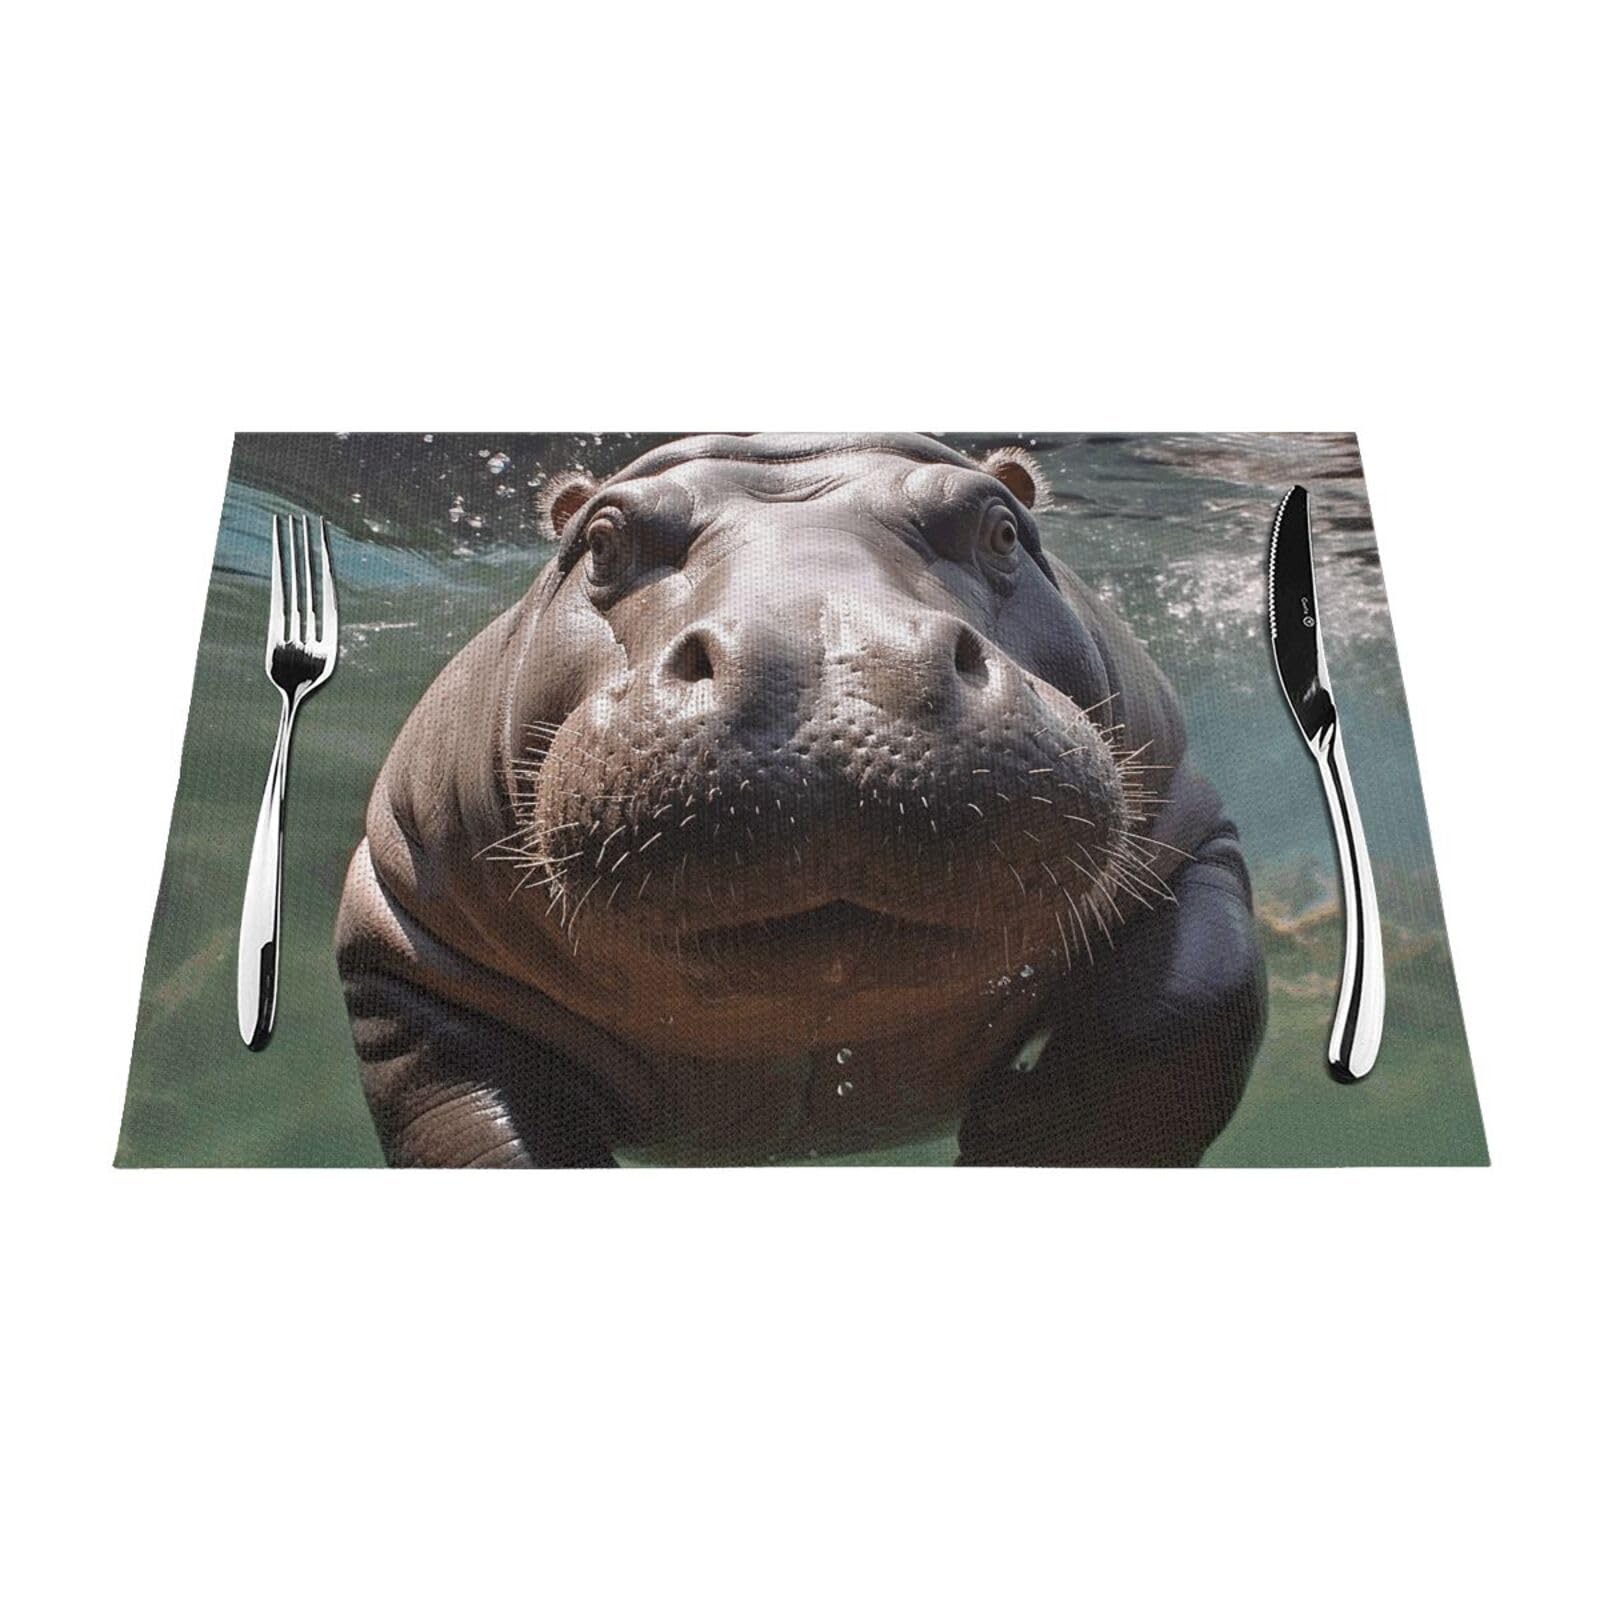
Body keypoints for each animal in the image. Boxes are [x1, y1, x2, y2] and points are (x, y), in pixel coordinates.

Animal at [335, 433, 1266, 1166]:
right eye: (601, 541)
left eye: (1000, 528)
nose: (827, 656)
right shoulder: (399, 929)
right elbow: (469, 1126)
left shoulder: (1190, 841)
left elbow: (1186, 1007)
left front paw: (1021, 1134)